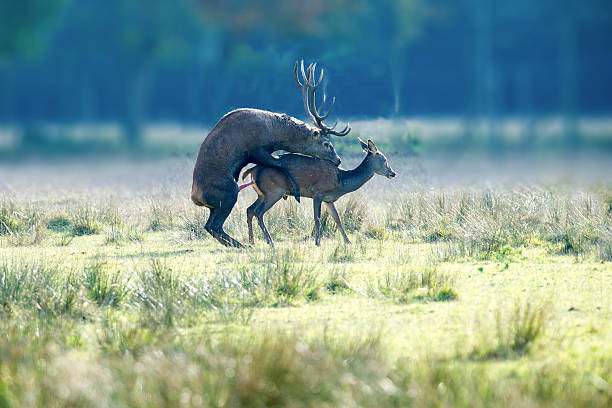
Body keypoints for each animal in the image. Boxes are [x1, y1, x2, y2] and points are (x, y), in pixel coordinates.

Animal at [191, 60, 354, 245]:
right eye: (327, 143)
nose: (338, 160)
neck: (273, 132)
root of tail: (195, 198)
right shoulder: (256, 149)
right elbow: (282, 163)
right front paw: (296, 192)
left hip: (216, 204)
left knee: (209, 225)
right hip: (228, 192)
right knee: (215, 225)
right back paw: (242, 245)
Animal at [241, 137, 394, 247]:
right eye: (384, 159)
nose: (393, 173)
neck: (341, 181)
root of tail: (252, 170)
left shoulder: (329, 199)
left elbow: (337, 219)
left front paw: (348, 241)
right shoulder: (318, 192)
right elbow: (317, 218)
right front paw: (317, 242)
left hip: (262, 194)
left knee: (250, 209)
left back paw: (252, 241)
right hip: (274, 191)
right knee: (259, 212)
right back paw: (270, 241)